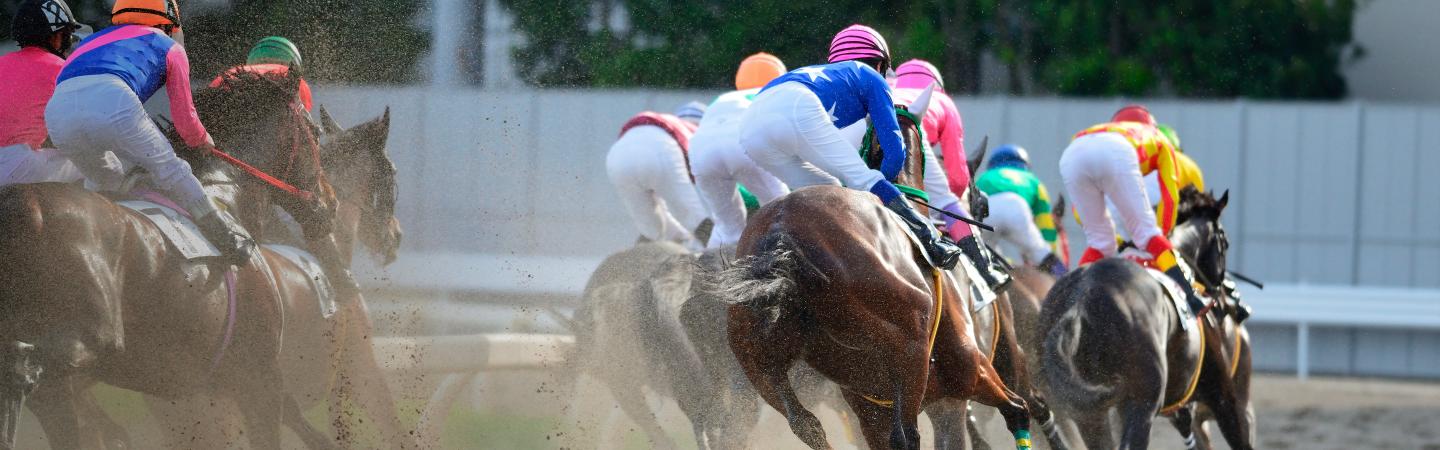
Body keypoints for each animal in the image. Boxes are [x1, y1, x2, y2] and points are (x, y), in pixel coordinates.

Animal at [0, 72, 336, 450]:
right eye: (315, 134)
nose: (331, 202)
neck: (227, 197)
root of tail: (28, 206)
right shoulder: (259, 375)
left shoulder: (195, 388)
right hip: (94, 336)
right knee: (25, 365)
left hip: (60, 390)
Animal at [715, 89, 1033, 450]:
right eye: (982, 204)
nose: (990, 265)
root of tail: (782, 231)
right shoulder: (969, 372)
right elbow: (1017, 410)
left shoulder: (883, 408)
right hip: (913, 353)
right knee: (908, 434)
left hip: (756, 361)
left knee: (806, 424)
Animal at [1038, 187, 1253, 450]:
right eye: (1225, 241)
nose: (1232, 304)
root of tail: (1079, 301)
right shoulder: (1221, 392)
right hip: (1142, 403)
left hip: (1089, 413)